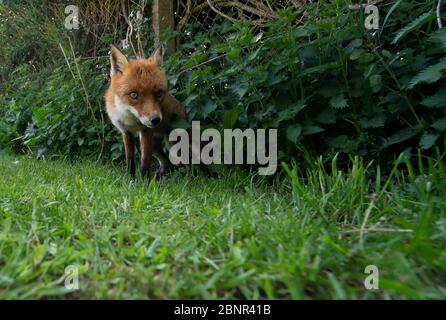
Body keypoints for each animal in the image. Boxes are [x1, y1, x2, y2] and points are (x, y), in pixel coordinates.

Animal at [104, 45, 185, 180]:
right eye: (134, 95)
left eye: (158, 93)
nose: (155, 120)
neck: (132, 119)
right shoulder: (126, 132)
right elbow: (130, 160)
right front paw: (130, 179)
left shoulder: (146, 131)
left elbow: (145, 162)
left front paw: (144, 182)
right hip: (156, 147)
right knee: (166, 162)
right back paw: (159, 178)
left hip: (180, 143)